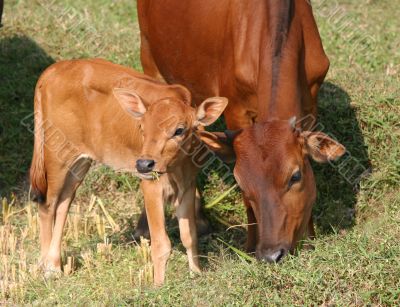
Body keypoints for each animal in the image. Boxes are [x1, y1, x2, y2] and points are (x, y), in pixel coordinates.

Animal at [30, 59, 230, 286]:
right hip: (56, 156)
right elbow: (161, 244)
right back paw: (48, 269)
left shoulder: (188, 184)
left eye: (179, 130)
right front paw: (158, 285)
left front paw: (196, 274)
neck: (176, 167)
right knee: (47, 204)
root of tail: (54, 69)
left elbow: (189, 236)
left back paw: (54, 264)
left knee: (64, 202)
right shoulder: (151, 185)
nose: (143, 164)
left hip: (79, 162)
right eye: (142, 127)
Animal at [137, 1, 344, 264]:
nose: (271, 254)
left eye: (295, 176)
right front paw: (249, 248)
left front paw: (309, 241)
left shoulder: (311, 100)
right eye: (242, 183)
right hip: (150, 57)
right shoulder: (235, 109)